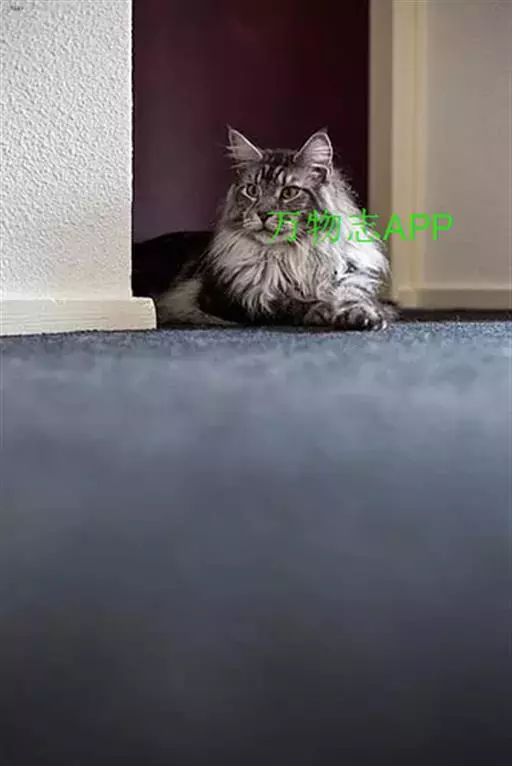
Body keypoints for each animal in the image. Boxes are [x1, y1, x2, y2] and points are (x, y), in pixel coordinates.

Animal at [140, 128, 396, 330]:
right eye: (252, 190)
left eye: (289, 192)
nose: (263, 213)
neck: (295, 255)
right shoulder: (233, 299)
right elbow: (292, 304)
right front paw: (324, 311)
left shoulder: (348, 281)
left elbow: (354, 299)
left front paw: (365, 316)